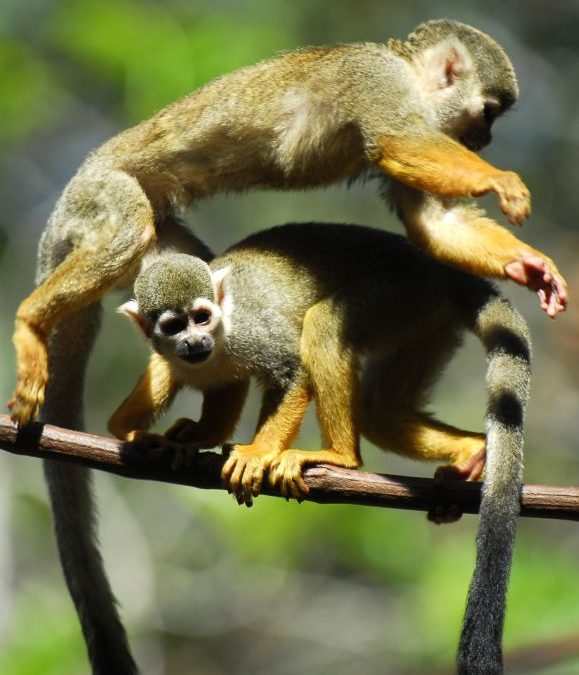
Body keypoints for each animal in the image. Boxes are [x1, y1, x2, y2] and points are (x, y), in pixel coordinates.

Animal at [111, 223, 532, 675]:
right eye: (174, 327)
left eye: (201, 317)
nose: (194, 341)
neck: (219, 340)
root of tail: (444, 273)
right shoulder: (190, 359)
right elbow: (211, 383)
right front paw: (166, 437)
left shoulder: (249, 333)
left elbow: (293, 369)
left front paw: (256, 454)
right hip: (427, 321)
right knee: (380, 414)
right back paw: (472, 453)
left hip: (403, 296)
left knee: (324, 327)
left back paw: (342, 458)